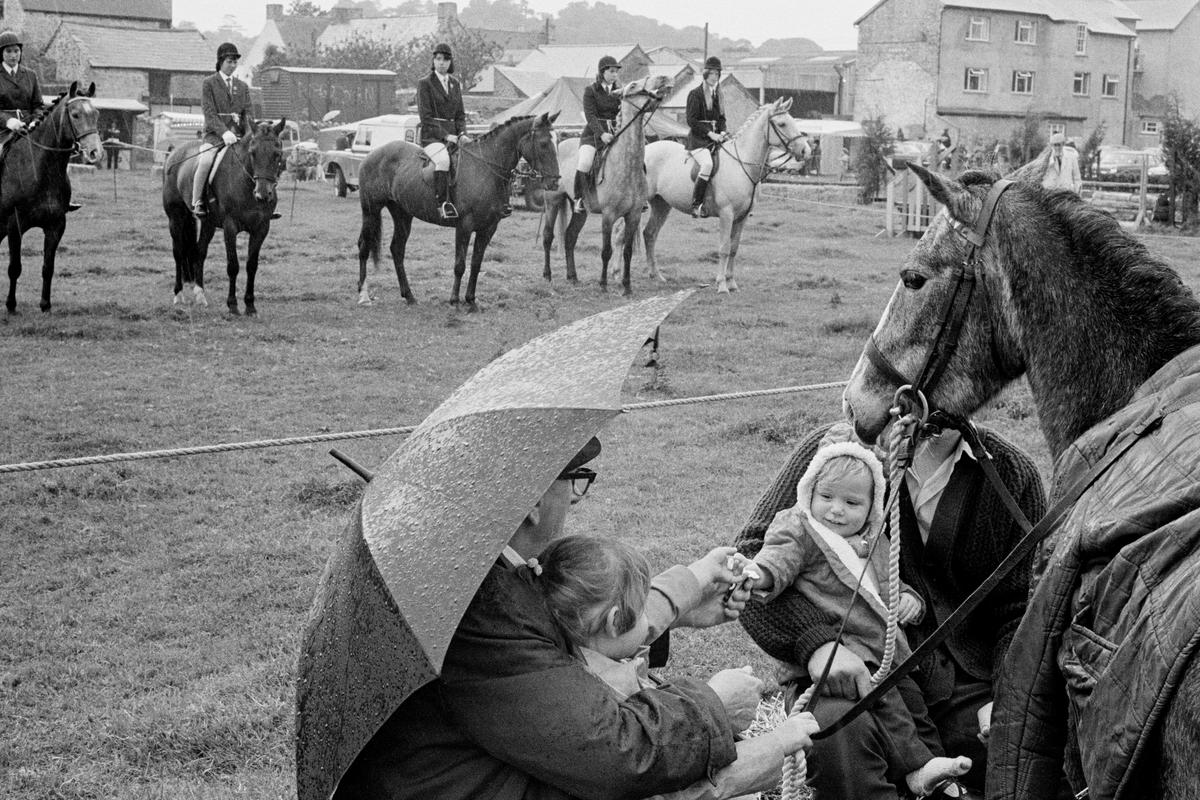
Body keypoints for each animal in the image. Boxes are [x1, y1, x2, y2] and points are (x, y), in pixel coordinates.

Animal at [0, 82, 102, 314]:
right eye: (75, 114)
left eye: (96, 114)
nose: (95, 153)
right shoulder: (14, 225)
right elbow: (14, 268)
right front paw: (11, 305)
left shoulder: (56, 224)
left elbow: (48, 267)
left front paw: (45, 305)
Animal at [160, 116, 284, 316]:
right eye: (252, 153)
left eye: (277, 153)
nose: (263, 195)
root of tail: (173, 153)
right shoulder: (229, 227)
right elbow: (233, 265)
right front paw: (232, 305)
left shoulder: (261, 228)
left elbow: (252, 265)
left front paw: (250, 305)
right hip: (175, 219)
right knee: (178, 252)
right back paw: (178, 295)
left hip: (208, 224)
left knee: (199, 251)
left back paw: (200, 295)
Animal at [355, 112, 561, 309]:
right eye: (543, 144)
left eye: (557, 142)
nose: (555, 182)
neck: (486, 167)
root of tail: (371, 155)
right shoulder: (464, 225)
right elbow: (460, 265)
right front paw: (454, 300)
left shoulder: (488, 227)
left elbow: (476, 264)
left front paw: (471, 301)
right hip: (370, 210)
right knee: (364, 247)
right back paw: (364, 296)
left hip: (402, 213)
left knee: (397, 249)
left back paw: (409, 296)